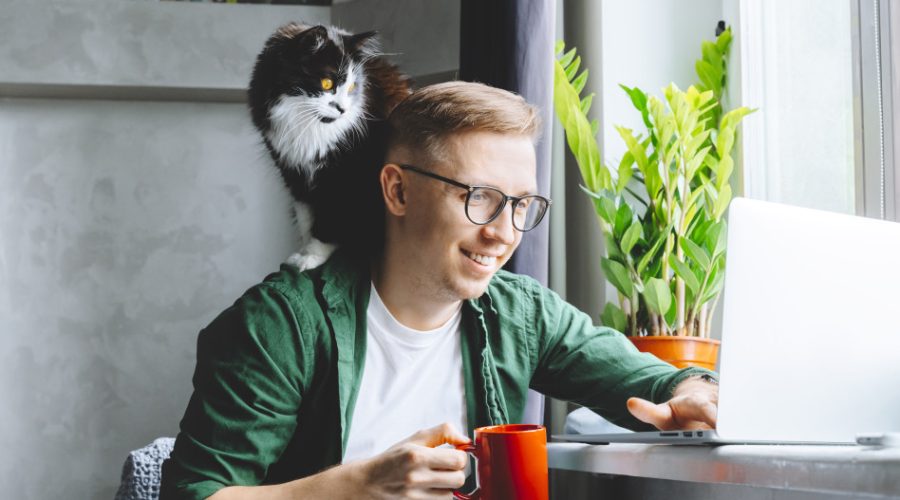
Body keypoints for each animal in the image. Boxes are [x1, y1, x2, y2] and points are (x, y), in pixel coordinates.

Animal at [248, 22, 414, 270]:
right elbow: (307, 221)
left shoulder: (341, 178)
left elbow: (327, 223)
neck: (307, 127)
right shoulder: (295, 174)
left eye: (353, 86)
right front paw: (303, 252)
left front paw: (311, 257)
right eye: (327, 83)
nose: (343, 109)